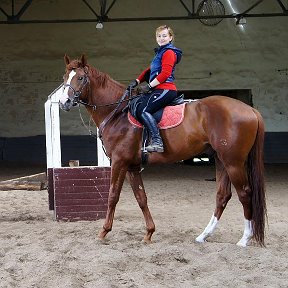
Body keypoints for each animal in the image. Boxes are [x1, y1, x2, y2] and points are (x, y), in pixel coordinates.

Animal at [59, 54, 266, 248]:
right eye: (64, 77)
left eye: (81, 78)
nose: (64, 102)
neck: (118, 113)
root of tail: (250, 110)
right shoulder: (132, 166)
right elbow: (141, 198)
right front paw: (149, 233)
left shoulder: (119, 162)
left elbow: (112, 196)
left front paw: (103, 232)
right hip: (221, 160)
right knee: (223, 196)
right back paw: (203, 236)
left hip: (233, 163)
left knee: (245, 193)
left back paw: (245, 238)